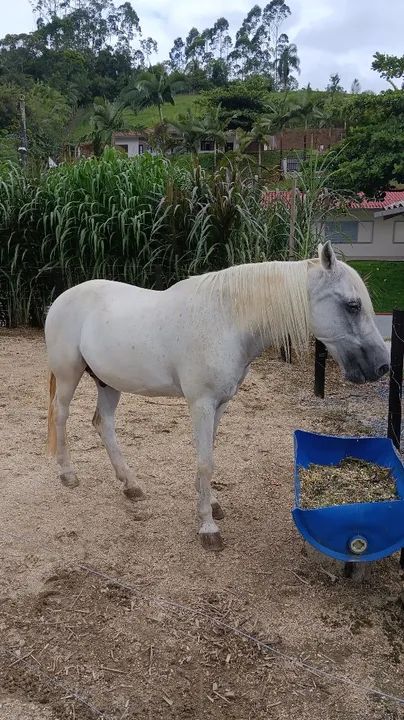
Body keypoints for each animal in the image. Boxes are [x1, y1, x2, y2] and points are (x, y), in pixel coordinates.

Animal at [45, 241, 389, 551]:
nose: (382, 366)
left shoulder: (220, 405)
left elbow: (209, 452)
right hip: (68, 376)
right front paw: (208, 528)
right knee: (61, 416)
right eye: (353, 305)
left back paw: (131, 485)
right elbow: (205, 462)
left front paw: (211, 504)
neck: (226, 322)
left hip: (107, 383)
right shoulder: (201, 405)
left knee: (103, 424)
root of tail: (61, 298)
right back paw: (68, 474)